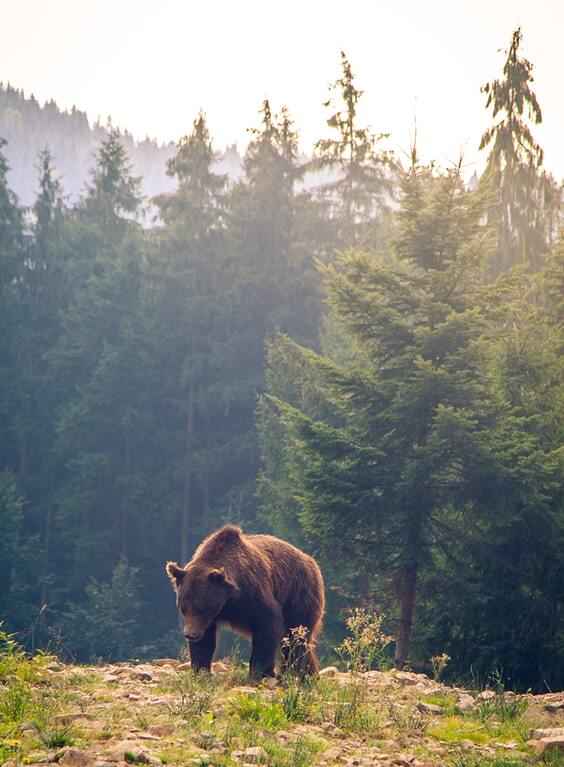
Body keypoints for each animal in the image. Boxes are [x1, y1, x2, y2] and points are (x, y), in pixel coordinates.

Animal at [164, 524, 322, 680]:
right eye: (183, 608)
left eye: (203, 607)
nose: (190, 635)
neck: (229, 600)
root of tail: (311, 560)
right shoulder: (209, 618)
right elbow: (206, 640)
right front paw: (201, 671)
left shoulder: (253, 594)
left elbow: (267, 625)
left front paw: (260, 672)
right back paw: (309, 675)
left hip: (298, 594)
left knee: (295, 637)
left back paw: (293, 672)